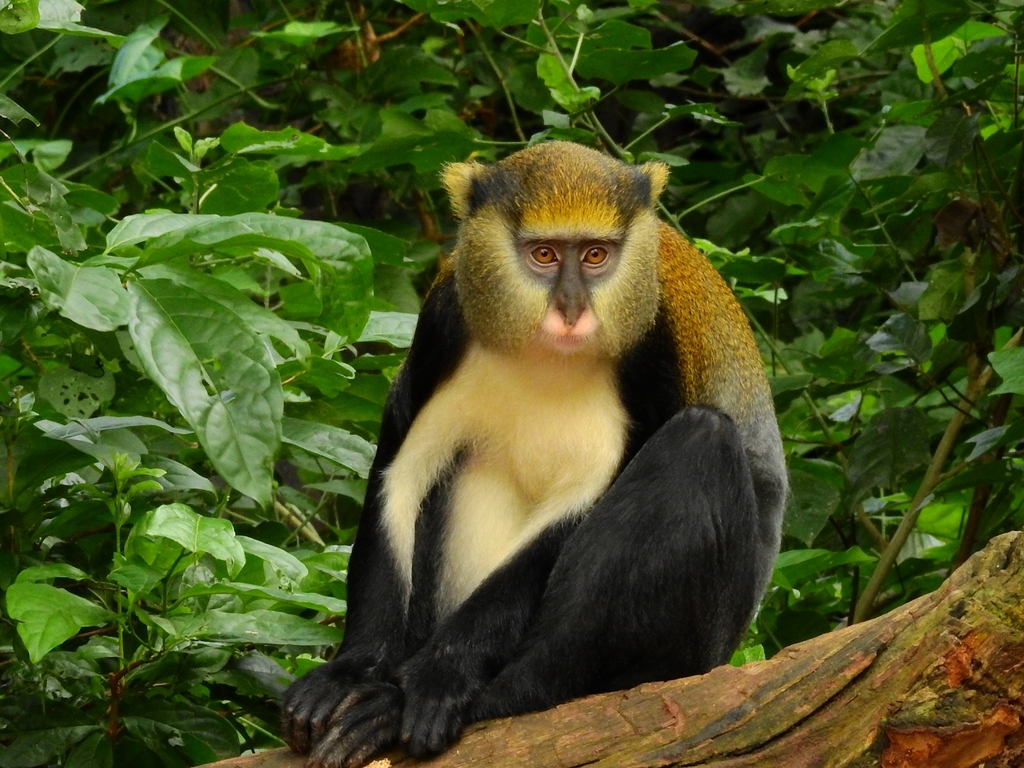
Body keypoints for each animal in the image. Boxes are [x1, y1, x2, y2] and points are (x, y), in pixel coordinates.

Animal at [281, 141, 787, 768]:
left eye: (595, 255)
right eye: (543, 254)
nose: (570, 308)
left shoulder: (653, 350)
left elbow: (573, 516)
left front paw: (438, 679)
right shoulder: (444, 319)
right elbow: (400, 478)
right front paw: (351, 671)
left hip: (698, 648)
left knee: (701, 440)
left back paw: (464, 698)